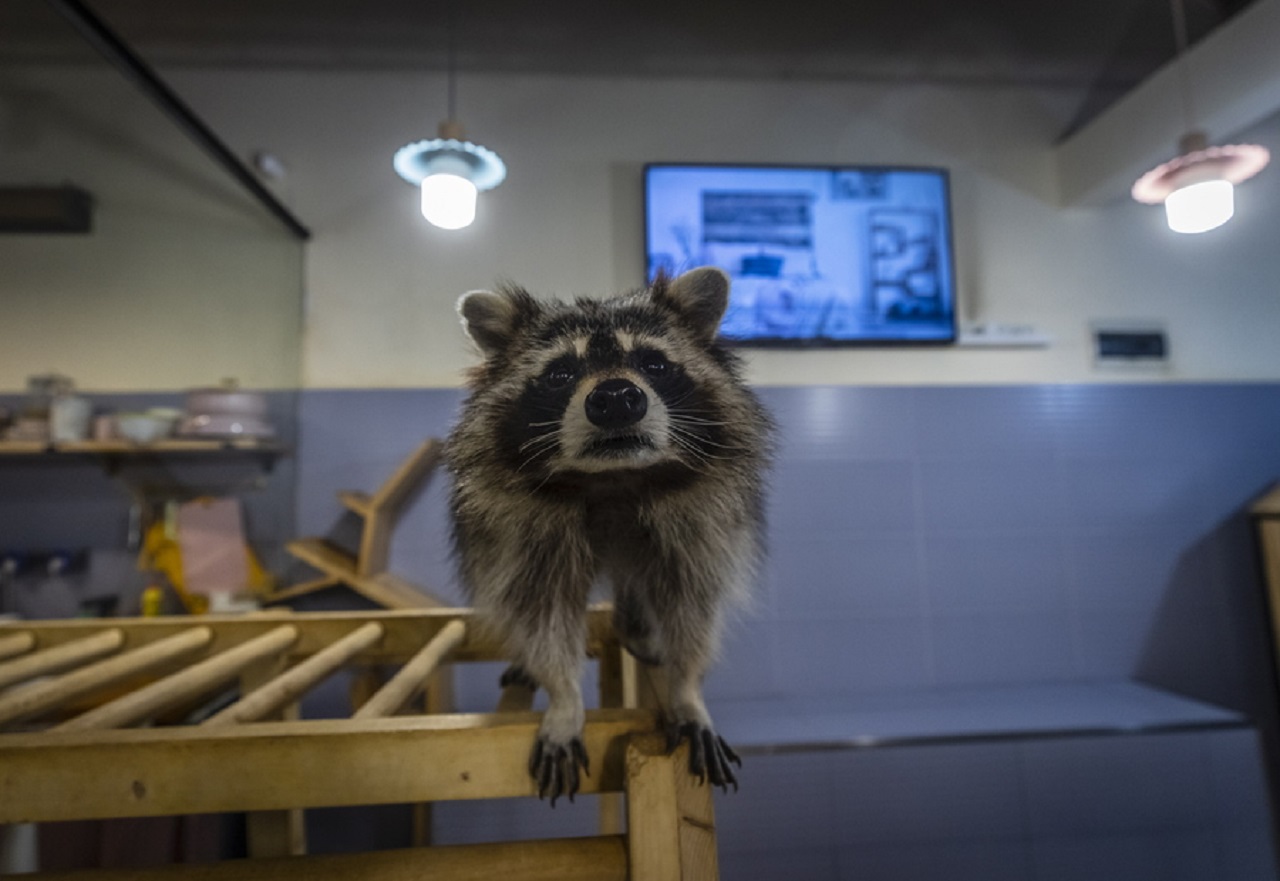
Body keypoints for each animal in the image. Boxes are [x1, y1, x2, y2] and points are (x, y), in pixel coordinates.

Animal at [450, 266, 768, 804]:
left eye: (653, 363)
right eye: (559, 374)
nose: (616, 398)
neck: (613, 478)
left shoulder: (700, 527)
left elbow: (692, 609)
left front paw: (688, 691)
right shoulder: (524, 532)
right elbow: (542, 615)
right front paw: (564, 699)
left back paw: (635, 626)